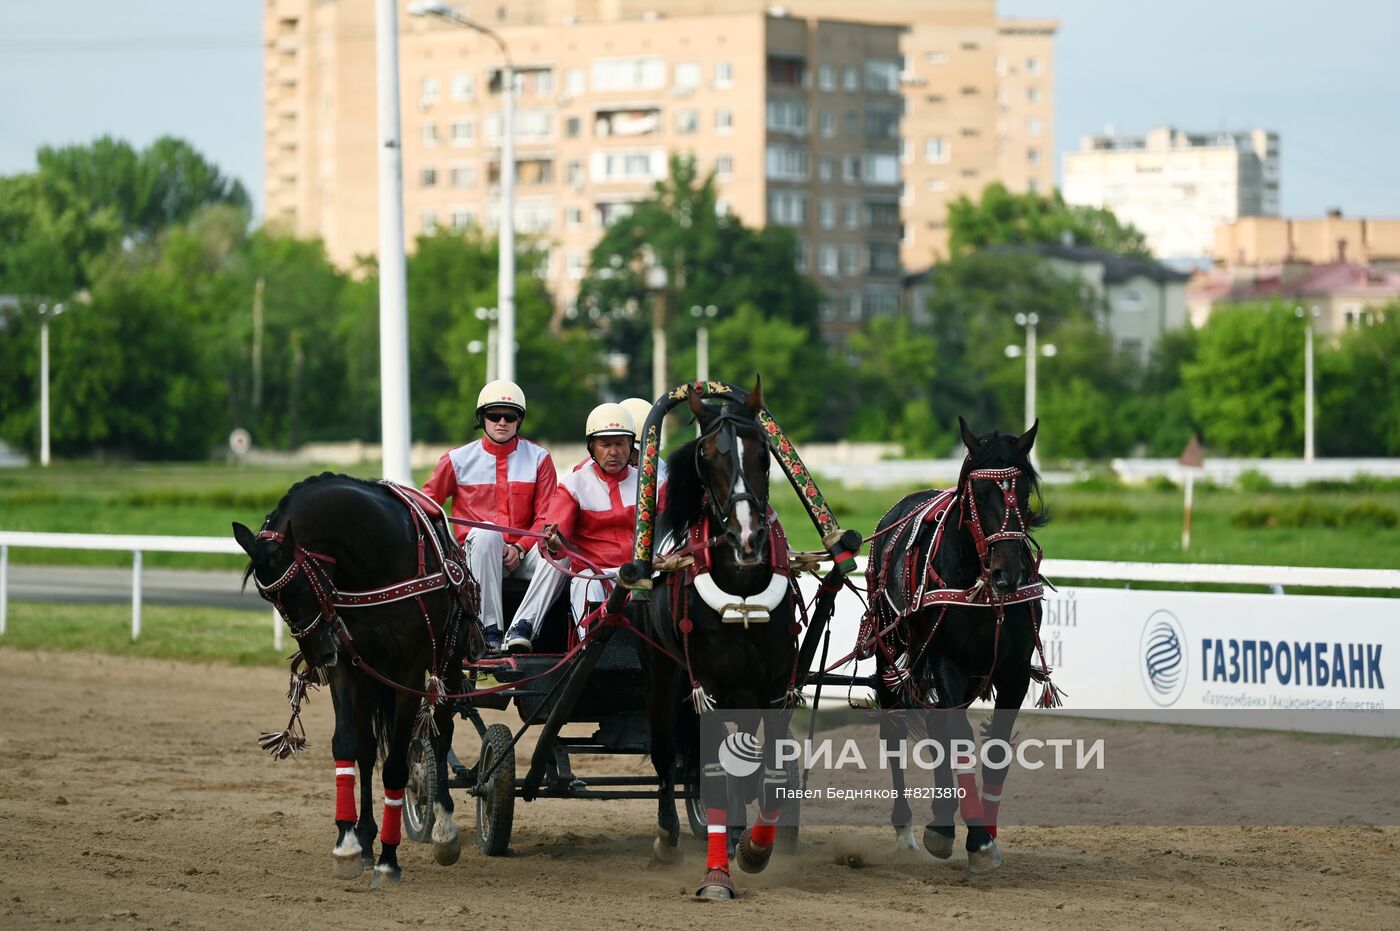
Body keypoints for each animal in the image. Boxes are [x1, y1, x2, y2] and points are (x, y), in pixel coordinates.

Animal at [232, 473, 478, 884]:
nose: (319, 653)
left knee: (440, 733)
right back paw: (364, 838)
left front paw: (389, 859)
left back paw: (443, 829)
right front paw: (348, 843)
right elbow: (348, 744)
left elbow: (397, 763)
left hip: (450, 660)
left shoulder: (409, 672)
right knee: (367, 749)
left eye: (300, 587)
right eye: (271, 600)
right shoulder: (348, 668)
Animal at [638, 380, 800, 901]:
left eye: (764, 454)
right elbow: (709, 771)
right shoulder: (705, 686)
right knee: (665, 751)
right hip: (662, 670)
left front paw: (755, 848)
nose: (747, 538)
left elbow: (771, 771)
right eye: (707, 457)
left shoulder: (775, 685)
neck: (742, 588)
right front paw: (715, 877)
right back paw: (666, 836)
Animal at [862, 417, 1052, 873]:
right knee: (895, 728)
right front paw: (976, 839)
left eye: (1022, 490)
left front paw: (987, 833)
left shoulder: (1015, 670)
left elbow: (996, 747)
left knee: (936, 729)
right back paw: (908, 829)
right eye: (978, 494)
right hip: (890, 648)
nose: (1008, 572)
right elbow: (960, 739)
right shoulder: (947, 661)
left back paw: (944, 818)